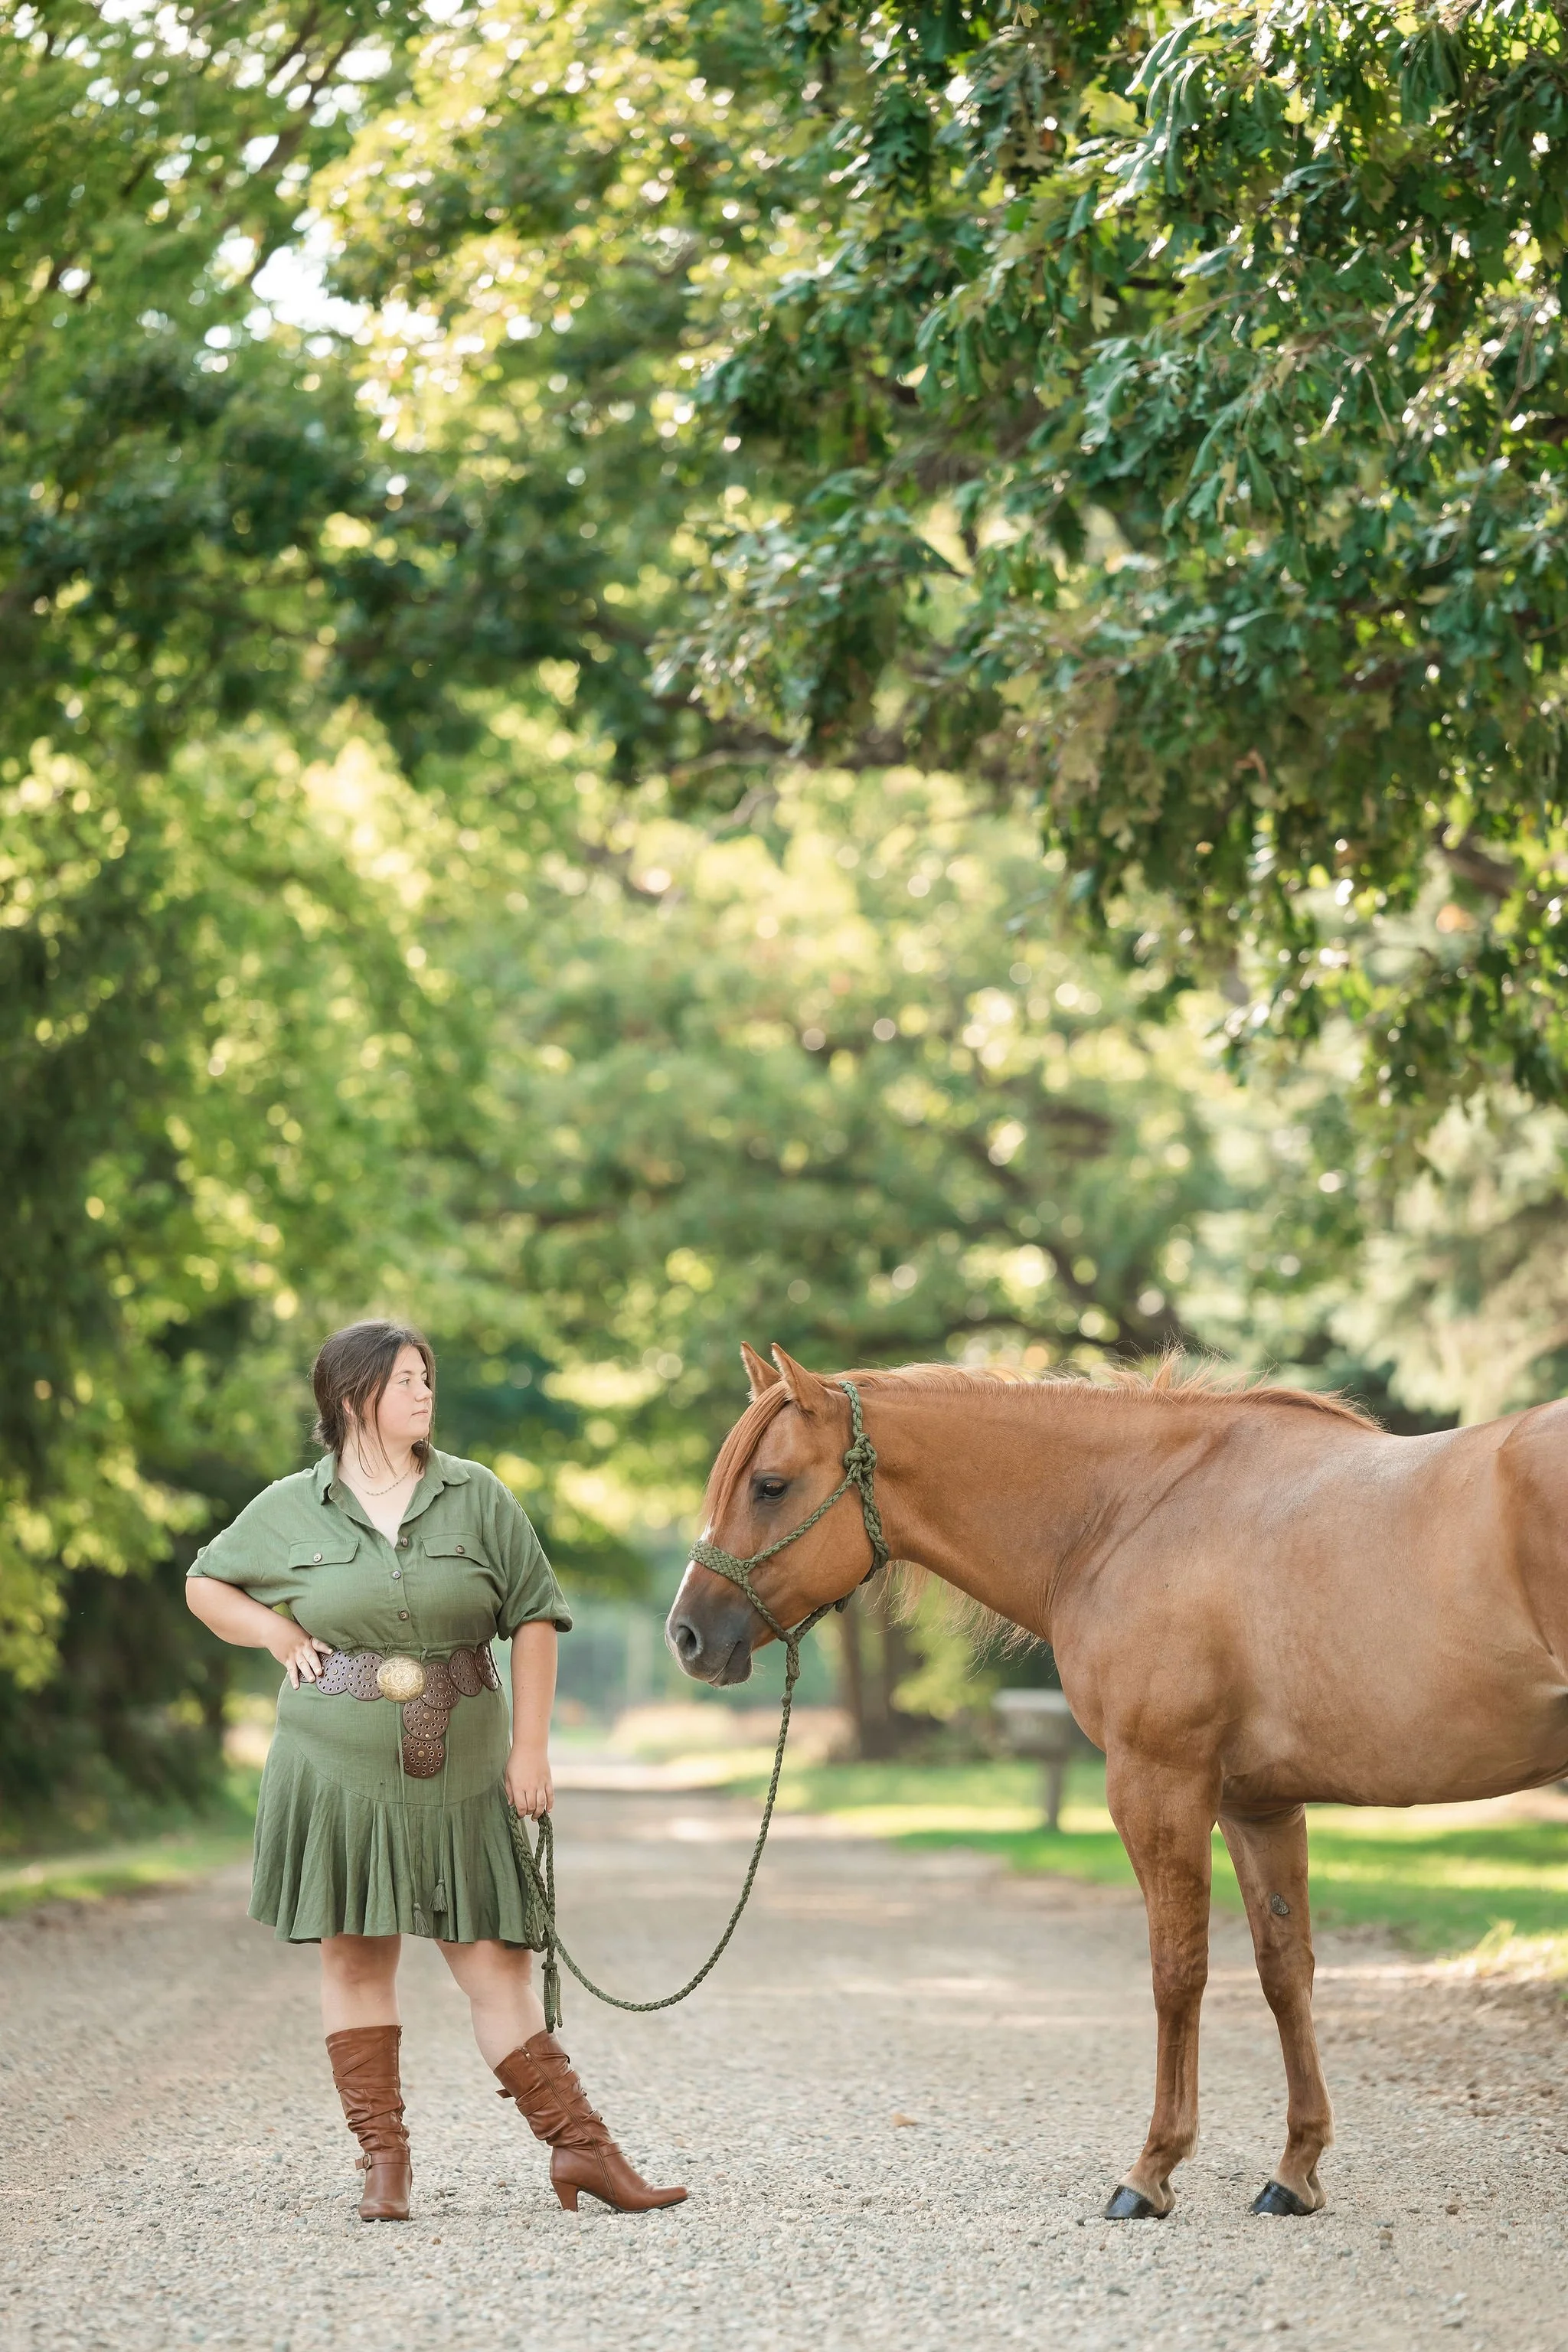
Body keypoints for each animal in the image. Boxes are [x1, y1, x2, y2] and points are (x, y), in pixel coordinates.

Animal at [665, 1343, 1568, 2221]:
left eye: (771, 1485)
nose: (687, 1636)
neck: (1133, 1513)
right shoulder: (1258, 1806)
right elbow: (1285, 1971)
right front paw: (1295, 2173)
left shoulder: (1157, 1784)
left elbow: (1178, 1969)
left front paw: (1150, 2172)